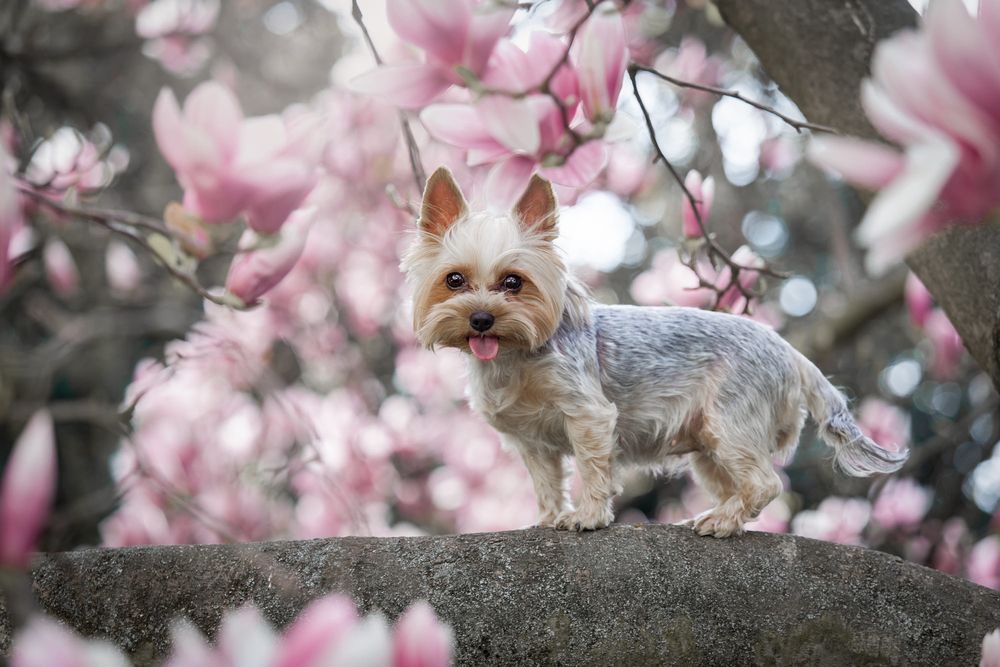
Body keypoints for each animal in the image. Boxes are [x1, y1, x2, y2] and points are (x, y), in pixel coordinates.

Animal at [402, 167, 912, 536]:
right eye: (454, 280)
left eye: (513, 282)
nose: (481, 319)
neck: (515, 352)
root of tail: (791, 352)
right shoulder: (532, 442)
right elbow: (546, 482)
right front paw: (548, 519)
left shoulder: (588, 415)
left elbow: (593, 467)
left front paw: (587, 517)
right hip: (709, 447)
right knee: (738, 484)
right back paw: (718, 515)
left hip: (732, 420)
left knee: (765, 482)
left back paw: (721, 523)